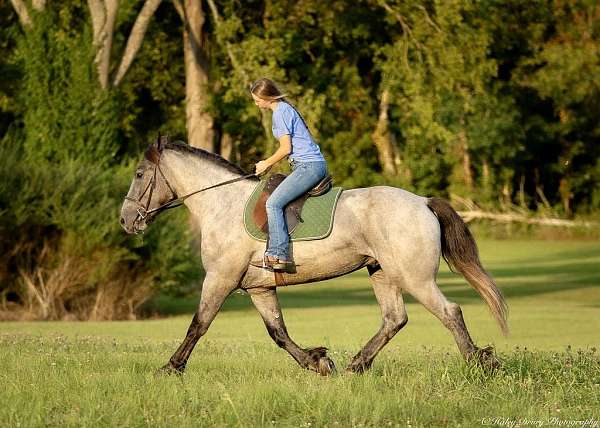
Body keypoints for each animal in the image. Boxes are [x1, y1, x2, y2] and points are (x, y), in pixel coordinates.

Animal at [120, 137, 506, 374]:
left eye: (139, 174)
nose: (126, 220)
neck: (221, 204)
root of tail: (423, 201)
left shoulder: (220, 279)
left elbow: (198, 324)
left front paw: (171, 367)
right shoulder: (258, 288)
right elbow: (277, 331)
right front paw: (317, 362)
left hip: (415, 277)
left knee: (449, 312)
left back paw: (480, 362)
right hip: (382, 272)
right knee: (394, 318)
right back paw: (356, 365)